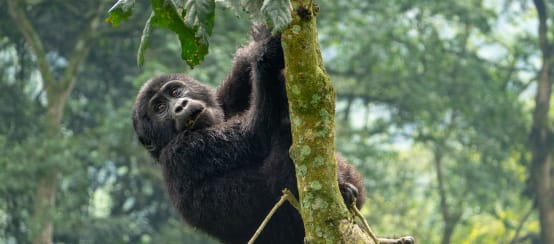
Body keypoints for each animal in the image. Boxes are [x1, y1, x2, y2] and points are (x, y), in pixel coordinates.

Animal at [132, 26, 364, 244]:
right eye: (159, 108)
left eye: (175, 92)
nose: (180, 106)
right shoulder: (183, 151)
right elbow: (257, 132)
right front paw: (266, 56)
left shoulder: (224, 101)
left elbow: (245, 63)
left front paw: (268, 37)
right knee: (283, 136)